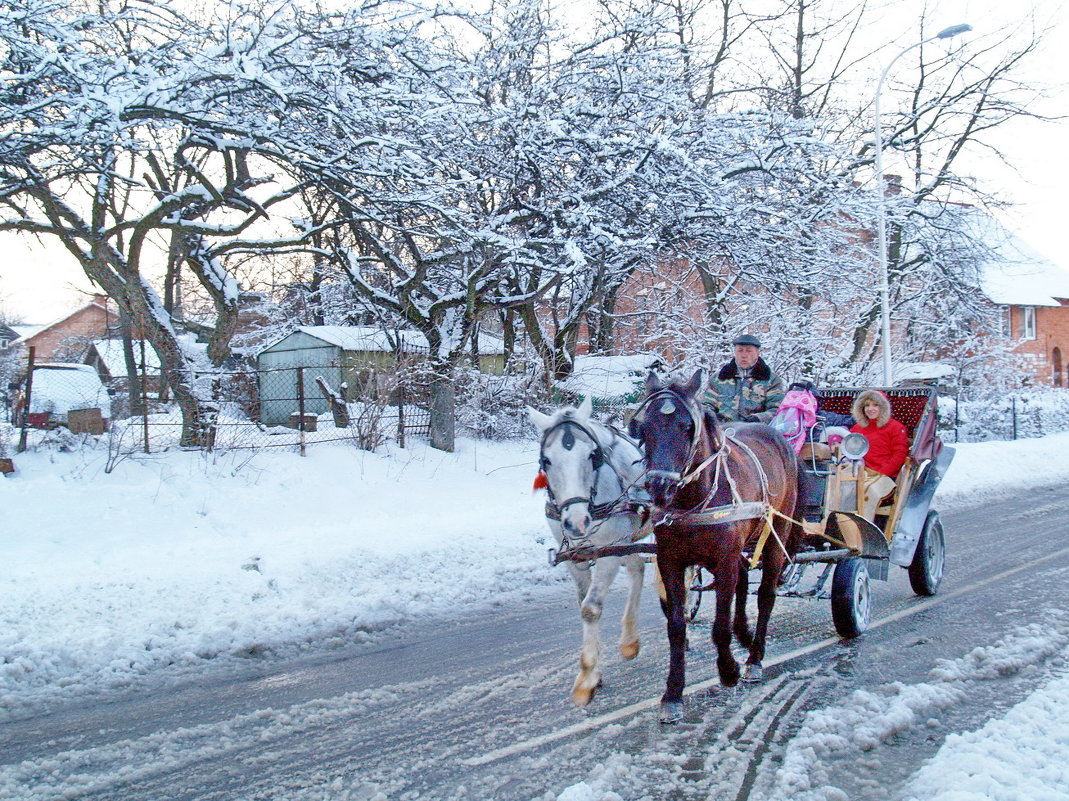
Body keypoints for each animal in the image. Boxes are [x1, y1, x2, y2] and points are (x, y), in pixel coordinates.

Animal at [528, 397, 645, 701]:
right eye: (546, 460)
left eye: (593, 456)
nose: (577, 521)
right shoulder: (574, 556)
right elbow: (583, 601)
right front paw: (595, 673)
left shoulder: (609, 552)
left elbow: (591, 608)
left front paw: (586, 678)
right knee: (638, 568)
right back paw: (630, 640)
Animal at [628, 372, 799, 722]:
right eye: (645, 426)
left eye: (686, 426)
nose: (659, 486)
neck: (693, 500)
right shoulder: (670, 560)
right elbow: (677, 625)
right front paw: (673, 693)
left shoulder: (724, 559)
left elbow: (720, 624)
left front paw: (729, 669)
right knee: (744, 584)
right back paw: (744, 634)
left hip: (775, 534)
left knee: (765, 596)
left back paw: (754, 658)